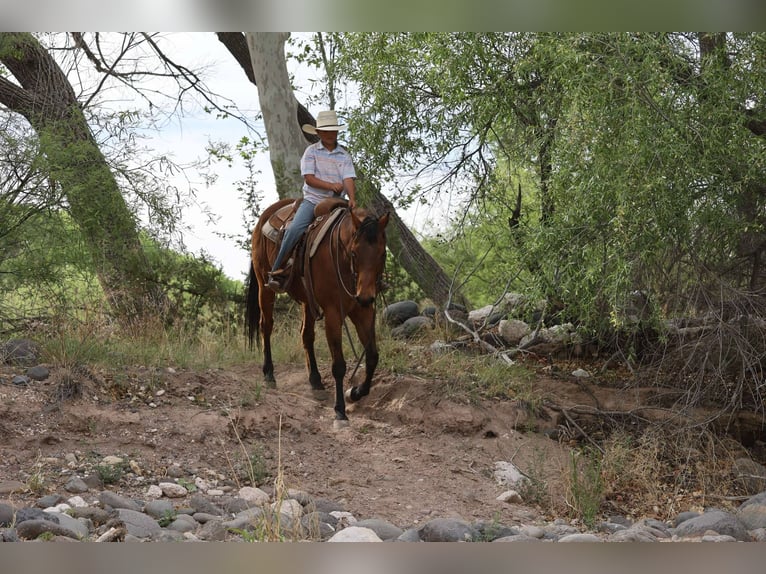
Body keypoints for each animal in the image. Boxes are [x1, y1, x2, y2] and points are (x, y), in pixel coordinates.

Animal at [245, 197, 389, 428]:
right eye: (354, 253)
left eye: (382, 253)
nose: (366, 296)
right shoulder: (333, 313)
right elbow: (338, 365)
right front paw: (340, 411)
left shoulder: (363, 311)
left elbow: (372, 357)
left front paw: (354, 392)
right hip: (263, 286)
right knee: (265, 326)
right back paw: (269, 375)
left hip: (307, 300)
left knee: (306, 335)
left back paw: (315, 381)